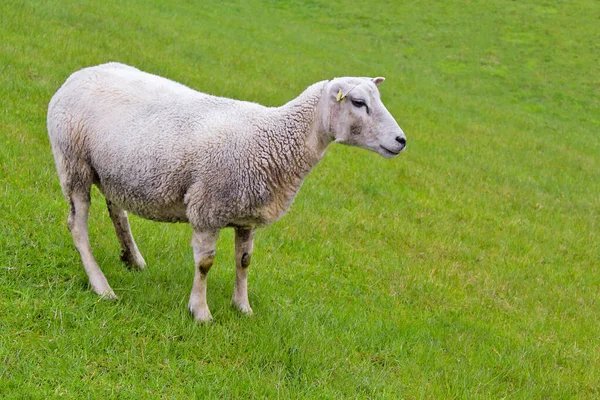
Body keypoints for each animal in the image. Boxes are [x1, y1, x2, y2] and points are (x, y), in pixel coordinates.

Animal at [45, 62, 404, 322]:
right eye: (358, 103)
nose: (401, 141)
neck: (274, 139)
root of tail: (78, 75)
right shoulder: (207, 208)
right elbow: (205, 263)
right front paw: (200, 312)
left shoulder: (246, 217)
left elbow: (244, 261)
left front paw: (242, 307)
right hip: (73, 162)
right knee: (77, 225)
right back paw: (101, 286)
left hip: (112, 170)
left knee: (117, 210)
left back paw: (132, 258)